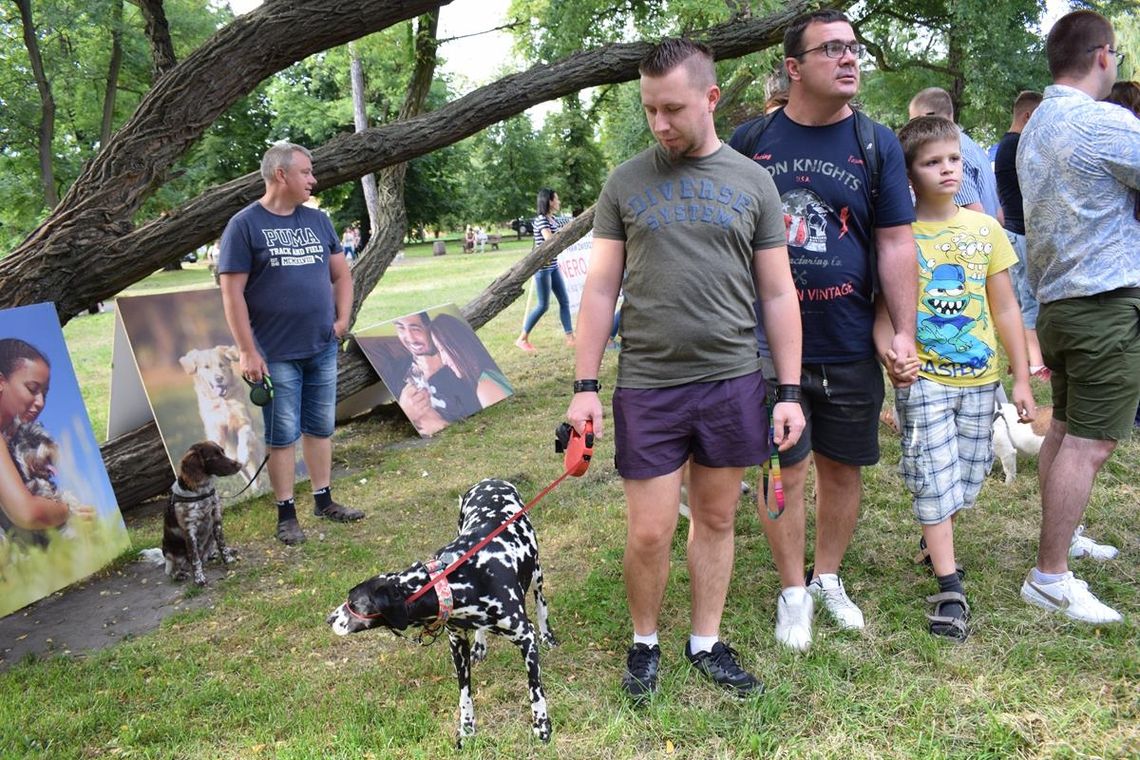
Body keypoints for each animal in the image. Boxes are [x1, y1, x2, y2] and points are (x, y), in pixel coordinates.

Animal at [163, 439, 242, 587]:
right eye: (214, 457)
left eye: (223, 452)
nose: (240, 465)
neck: (201, 492)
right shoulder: (190, 531)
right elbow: (195, 558)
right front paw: (199, 578)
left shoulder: (216, 520)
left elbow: (222, 544)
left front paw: (228, 559)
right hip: (169, 552)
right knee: (171, 570)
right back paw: (180, 574)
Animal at [328, 478, 558, 747]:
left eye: (353, 603)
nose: (329, 619)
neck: (458, 580)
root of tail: (492, 480)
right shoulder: (456, 644)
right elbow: (465, 694)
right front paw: (467, 728)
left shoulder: (526, 638)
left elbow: (535, 691)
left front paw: (542, 726)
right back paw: (480, 645)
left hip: (537, 574)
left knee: (541, 602)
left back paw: (548, 635)